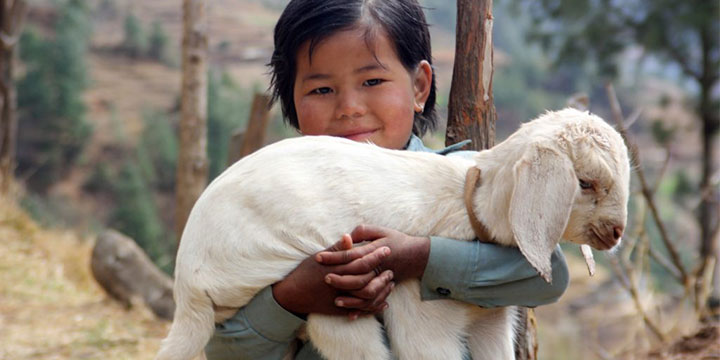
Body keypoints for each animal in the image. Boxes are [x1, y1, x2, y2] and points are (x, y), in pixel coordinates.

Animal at [156, 108, 632, 360]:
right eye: (585, 183)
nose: (615, 233)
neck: (469, 204)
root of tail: (187, 293)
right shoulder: (419, 313)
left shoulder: (490, 320)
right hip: (310, 277)